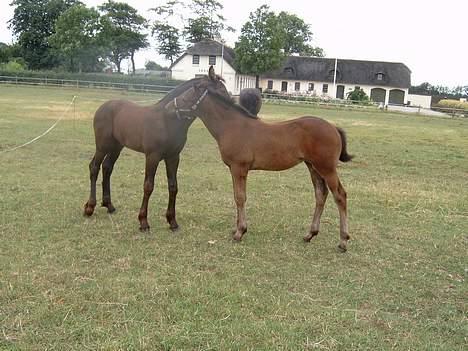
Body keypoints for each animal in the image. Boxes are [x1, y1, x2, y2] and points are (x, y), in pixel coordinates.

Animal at [84, 67, 234, 232]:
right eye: (221, 91)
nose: (233, 107)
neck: (167, 119)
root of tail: (102, 107)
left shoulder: (173, 157)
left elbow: (173, 186)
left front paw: (172, 221)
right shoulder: (152, 156)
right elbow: (148, 186)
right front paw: (143, 222)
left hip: (117, 146)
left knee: (107, 167)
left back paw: (109, 205)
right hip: (102, 146)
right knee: (94, 167)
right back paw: (89, 207)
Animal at [166, 78, 352, 252]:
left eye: (185, 97)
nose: (168, 108)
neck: (232, 126)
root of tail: (333, 127)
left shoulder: (239, 168)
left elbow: (240, 197)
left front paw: (240, 232)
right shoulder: (234, 169)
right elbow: (237, 196)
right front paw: (237, 228)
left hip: (326, 168)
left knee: (340, 195)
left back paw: (343, 241)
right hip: (313, 167)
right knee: (321, 194)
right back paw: (310, 234)